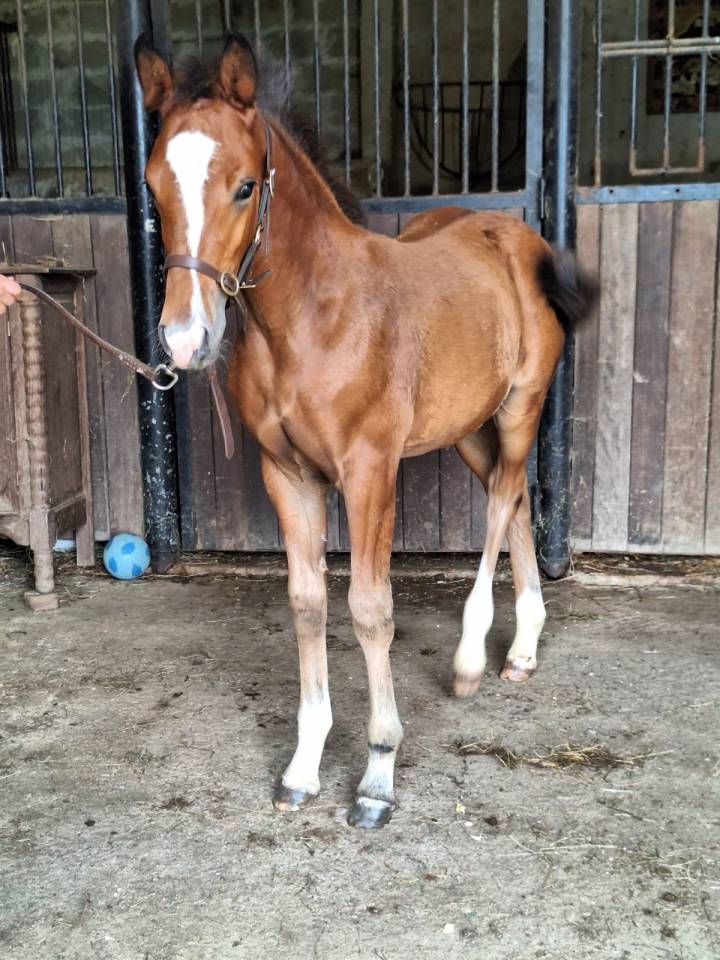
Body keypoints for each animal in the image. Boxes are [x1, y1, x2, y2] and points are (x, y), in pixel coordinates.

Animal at [135, 33, 597, 828]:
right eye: (154, 188)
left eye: (245, 187)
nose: (187, 341)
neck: (310, 320)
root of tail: (519, 236)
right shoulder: (287, 475)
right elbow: (308, 602)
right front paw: (303, 766)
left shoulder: (370, 469)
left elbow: (370, 610)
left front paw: (378, 774)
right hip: (466, 425)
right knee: (517, 504)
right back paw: (522, 650)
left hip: (521, 407)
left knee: (503, 501)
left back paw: (473, 658)